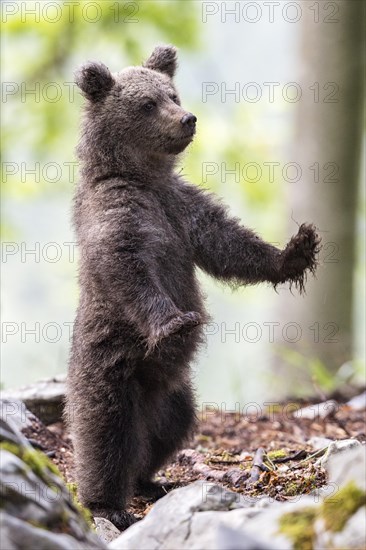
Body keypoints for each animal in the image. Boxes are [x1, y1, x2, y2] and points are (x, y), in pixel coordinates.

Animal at [68, 46, 320, 532]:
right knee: (105, 434)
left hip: (174, 395)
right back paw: (108, 503)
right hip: (111, 365)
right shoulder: (119, 212)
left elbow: (229, 244)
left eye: (172, 93)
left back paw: (150, 480)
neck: (144, 177)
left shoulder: (183, 210)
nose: (187, 118)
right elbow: (126, 265)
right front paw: (175, 322)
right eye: (147, 104)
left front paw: (297, 250)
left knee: (165, 432)